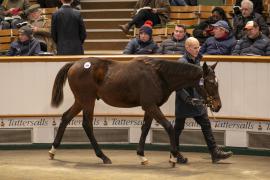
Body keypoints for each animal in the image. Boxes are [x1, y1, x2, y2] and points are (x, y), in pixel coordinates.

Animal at [49, 57, 221, 167]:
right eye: (211, 82)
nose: (217, 105)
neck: (158, 75)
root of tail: (75, 64)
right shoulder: (151, 105)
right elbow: (169, 126)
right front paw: (173, 158)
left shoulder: (150, 107)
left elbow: (145, 128)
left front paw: (142, 156)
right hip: (88, 101)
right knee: (87, 124)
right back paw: (103, 156)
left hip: (81, 101)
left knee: (66, 118)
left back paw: (53, 151)